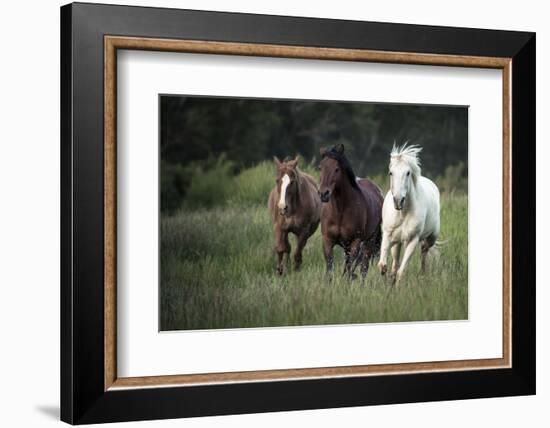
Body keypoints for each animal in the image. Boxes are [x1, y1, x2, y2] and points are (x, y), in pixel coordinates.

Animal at [380, 145, 444, 286]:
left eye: (408, 173)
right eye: (390, 172)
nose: (398, 201)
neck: (403, 213)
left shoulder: (412, 240)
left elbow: (401, 272)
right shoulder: (388, 236)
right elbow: (383, 266)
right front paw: (387, 284)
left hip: (431, 238)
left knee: (424, 251)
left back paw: (422, 275)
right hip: (397, 242)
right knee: (395, 262)